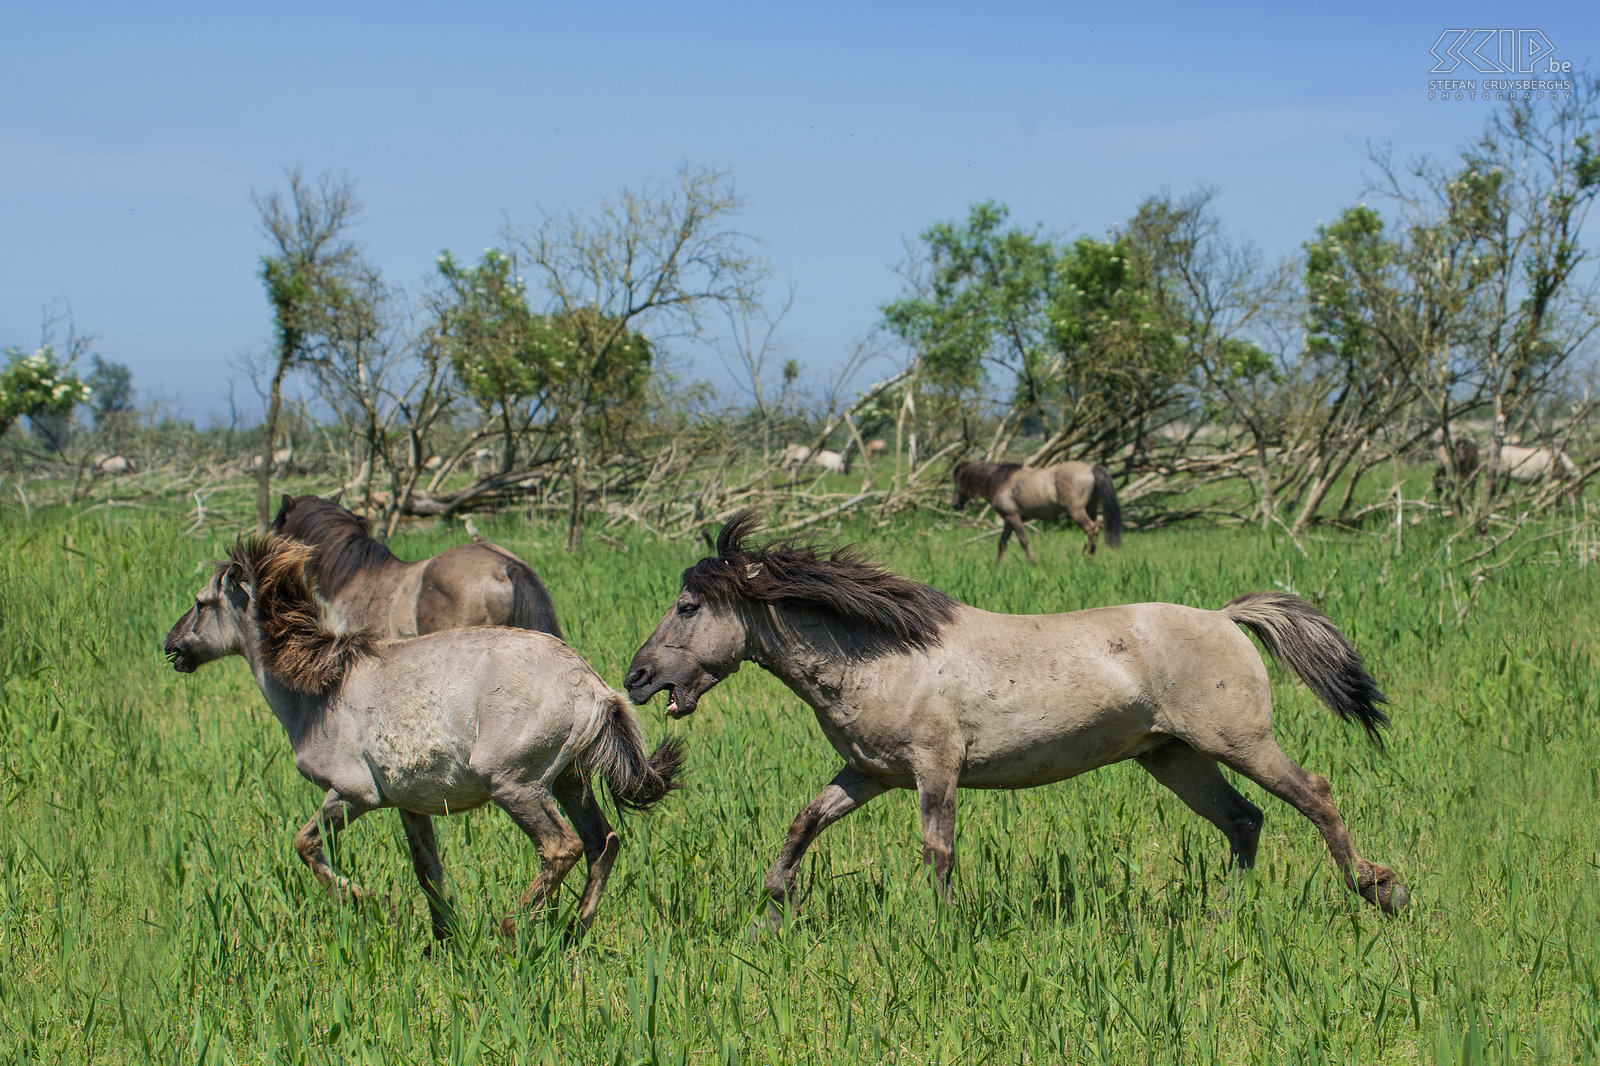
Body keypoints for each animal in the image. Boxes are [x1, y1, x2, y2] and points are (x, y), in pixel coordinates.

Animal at [165, 534, 684, 934]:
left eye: (200, 603)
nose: (171, 647)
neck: (322, 688)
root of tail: (593, 688)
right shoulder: (409, 805)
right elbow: (427, 868)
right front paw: (443, 936)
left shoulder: (353, 794)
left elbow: (305, 844)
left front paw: (373, 903)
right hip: (570, 781)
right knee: (603, 842)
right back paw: (575, 928)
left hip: (517, 786)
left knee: (561, 848)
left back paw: (511, 926)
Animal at [617, 512, 1408, 928]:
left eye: (688, 607)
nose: (637, 677)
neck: (886, 657)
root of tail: (1225, 618)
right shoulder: (869, 774)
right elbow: (805, 820)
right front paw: (772, 907)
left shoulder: (936, 769)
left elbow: (937, 850)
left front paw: (942, 930)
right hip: (1174, 757)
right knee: (1245, 821)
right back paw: (1220, 917)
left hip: (1239, 742)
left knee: (1315, 796)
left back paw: (1378, 889)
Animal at [947, 457, 1126, 563]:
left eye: (958, 482)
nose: (954, 504)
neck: (1000, 482)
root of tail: (1090, 469)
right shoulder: (1009, 519)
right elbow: (1002, 543)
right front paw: (997, 566)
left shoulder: (1013, 517)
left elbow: (1023, 540)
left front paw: (1033, 564)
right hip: (1090, 508)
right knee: (1091, 530)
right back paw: (1086, 556)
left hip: (1077, 511)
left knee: (1091, 528)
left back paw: (1087, 558)